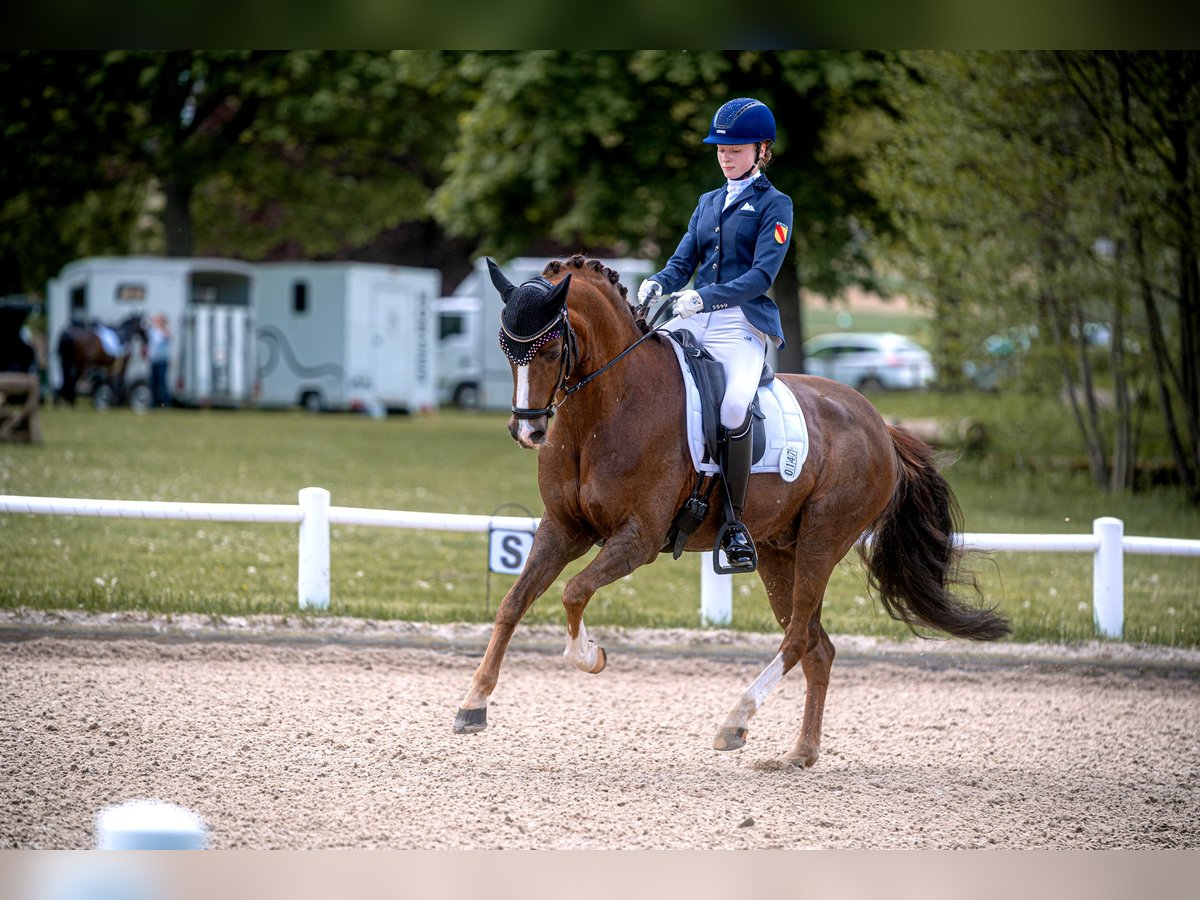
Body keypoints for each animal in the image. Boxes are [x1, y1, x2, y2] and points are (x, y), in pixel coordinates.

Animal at [453, 256, 1008, 772]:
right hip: (777, 551)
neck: (605, 409)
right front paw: (473, 705)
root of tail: (880, 425)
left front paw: (590, 657)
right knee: (817, 647)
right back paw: (800, 753)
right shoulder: (564, 528)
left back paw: (735, 722)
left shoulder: (639, 539)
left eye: (549, 350)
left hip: (822, 543)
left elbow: (574, 591)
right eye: (507, 350)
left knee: (796, 639)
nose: (527, 432)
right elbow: (513, 603)